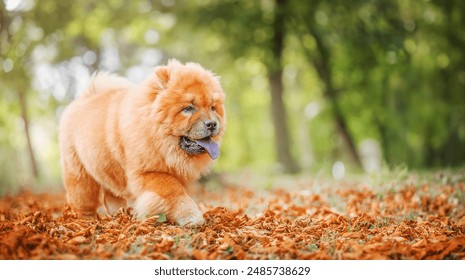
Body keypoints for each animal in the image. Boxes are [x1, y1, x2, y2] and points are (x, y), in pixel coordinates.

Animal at [59, 60, 226, 226]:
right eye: (188, 108)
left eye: (212, 108)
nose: (212, 124)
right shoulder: (147, 172)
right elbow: (174, 191)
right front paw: (191, 217)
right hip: (80, 175)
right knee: (83, 200)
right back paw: (86, 221)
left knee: (111, 196)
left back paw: (119, 216)